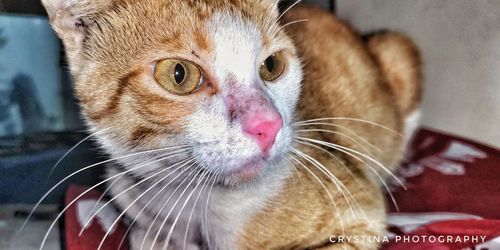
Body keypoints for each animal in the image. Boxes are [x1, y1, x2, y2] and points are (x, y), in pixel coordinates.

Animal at [41, 0, 420, 249]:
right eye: (178, 74)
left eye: (272, 65)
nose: (269, 124)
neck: (189, 200)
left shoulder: (360, 214)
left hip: (397, 50)